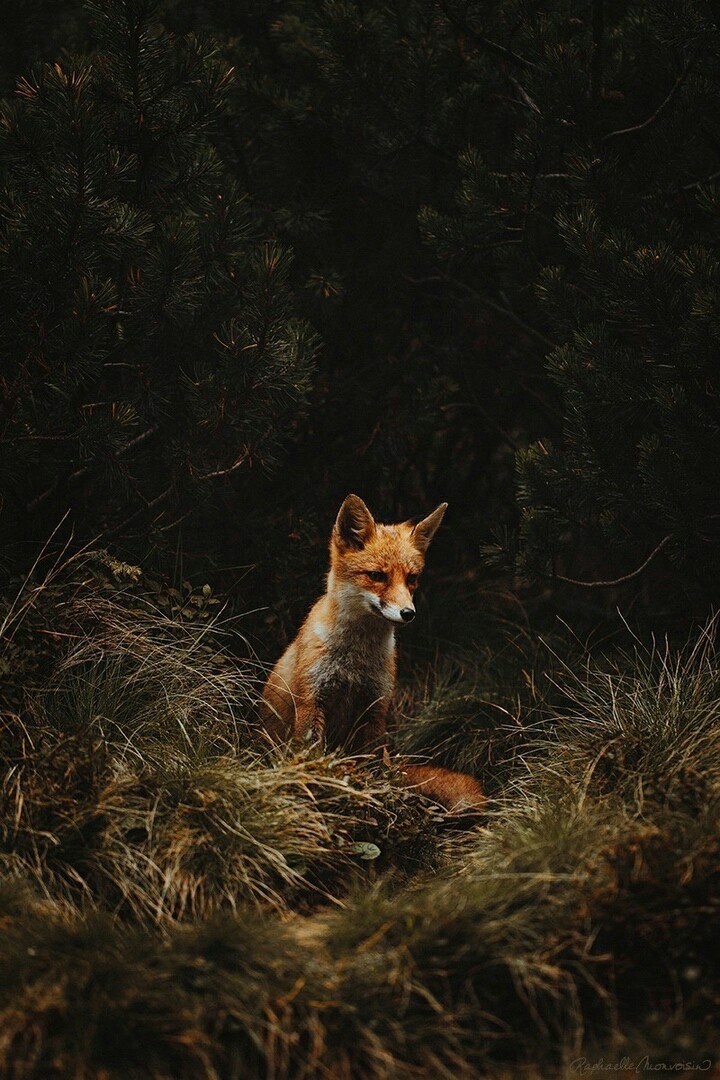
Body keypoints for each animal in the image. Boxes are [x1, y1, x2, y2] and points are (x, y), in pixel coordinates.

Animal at [261, 494, 485, 815]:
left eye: (412, 578)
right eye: (377, 576)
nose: (408, 613)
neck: (355, 660)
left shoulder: (374, 706)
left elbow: (372, 765)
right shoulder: (311, 700)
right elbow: (310, 752)